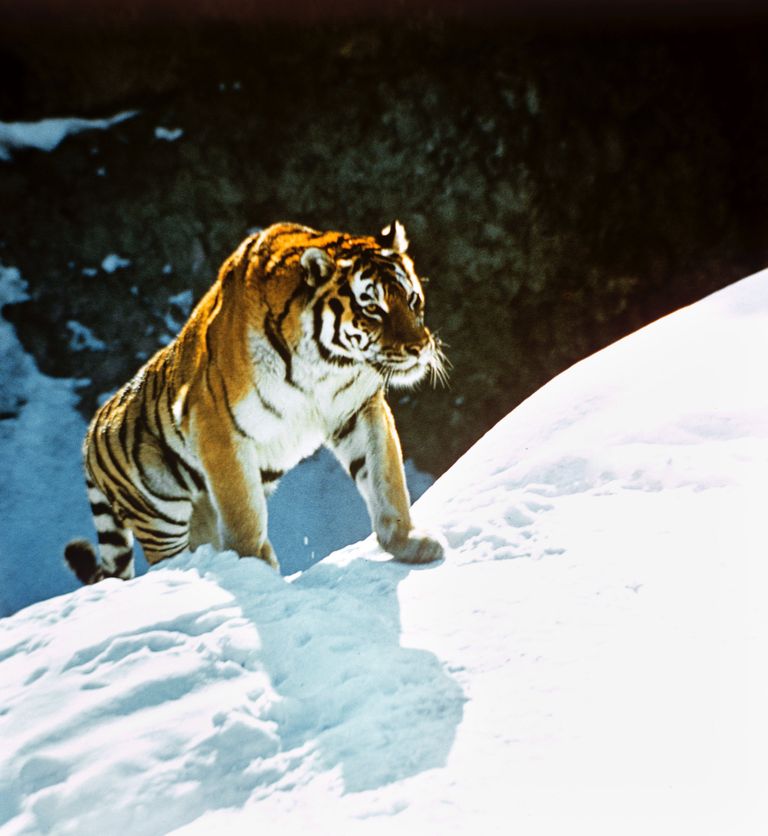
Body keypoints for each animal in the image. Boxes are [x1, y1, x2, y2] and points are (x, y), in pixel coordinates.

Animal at [64, 220, 448, 585]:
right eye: (372, 309)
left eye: (412, 300)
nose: (419, 347)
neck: (328, 366)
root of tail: (90, 433)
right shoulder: (216, 428)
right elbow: (244, 515)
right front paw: (256, 574)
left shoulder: (357, 410)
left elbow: (386, 479)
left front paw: (409, 543)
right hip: (161, 518)